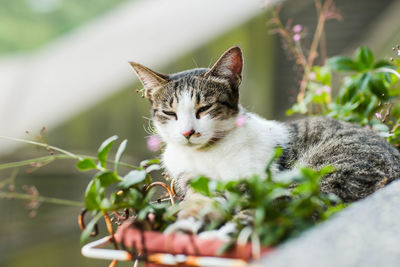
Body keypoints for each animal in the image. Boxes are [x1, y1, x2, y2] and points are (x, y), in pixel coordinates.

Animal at [130, 46, 400, 218]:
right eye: (170, 113)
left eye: (204, 108)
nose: (187, 133)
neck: (206, 153)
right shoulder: (187, 177)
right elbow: (197, 193)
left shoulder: (255, 179)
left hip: (320, 173)